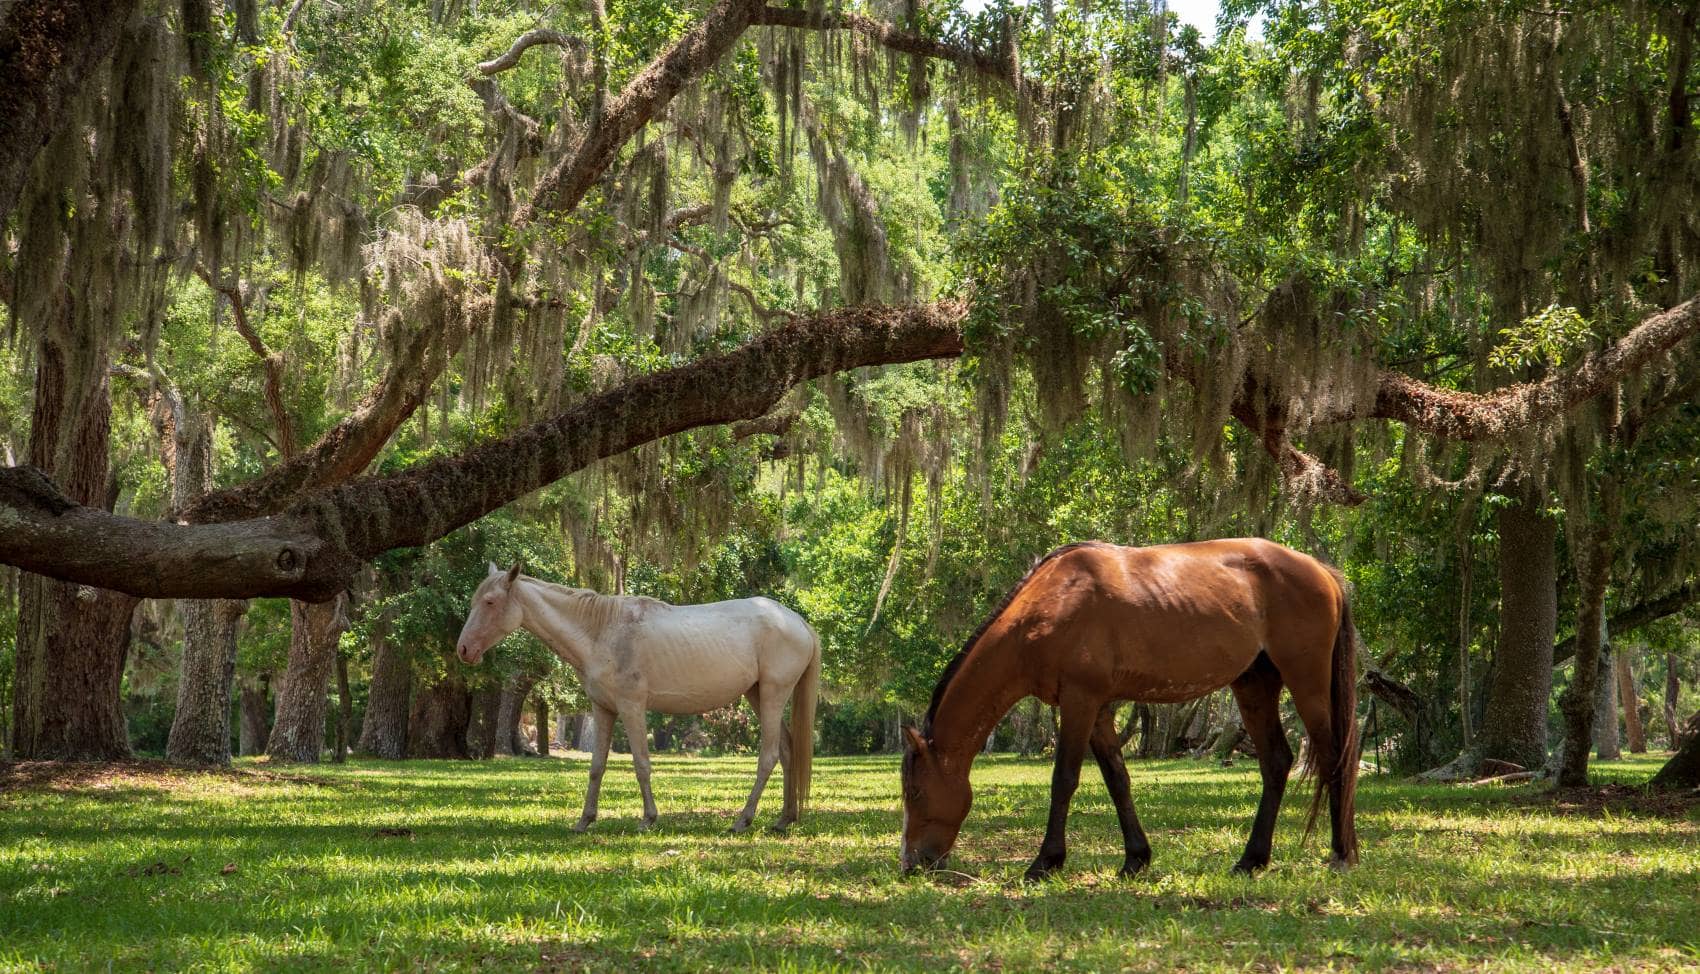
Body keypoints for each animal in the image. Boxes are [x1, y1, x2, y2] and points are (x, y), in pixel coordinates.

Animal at [456, 563, 821, 833]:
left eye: (490, 602)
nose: (463, 650)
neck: (601, 630)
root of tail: (798, 621)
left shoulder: (631, 708)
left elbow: (641, 764)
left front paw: (648, 819)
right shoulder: (603, 710)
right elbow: (597, 766)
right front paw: (584, 821)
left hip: (772, 695)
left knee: (769, 756)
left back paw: (743, 820)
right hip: (757, 695)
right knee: (787, 751)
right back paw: (784, 819)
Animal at [899, 538, 1360, 880]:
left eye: (916, 792)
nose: (911, 864)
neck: (1051, 603)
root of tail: (1322, 571)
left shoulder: (1080, 701)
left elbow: (1063, 779)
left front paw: (1045, 863)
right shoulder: (1098, 709)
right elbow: (1117, 781)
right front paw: (1135, 859)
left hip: (1307, 684)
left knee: (1333, 758)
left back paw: (1340, 854)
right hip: (1255, 686)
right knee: (1276, 762)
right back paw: (1251, 861)